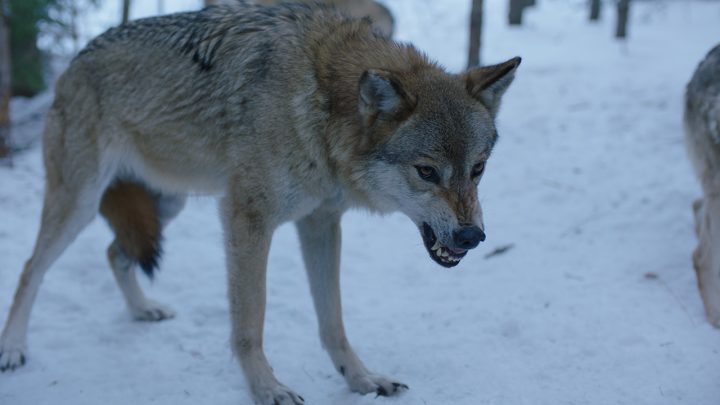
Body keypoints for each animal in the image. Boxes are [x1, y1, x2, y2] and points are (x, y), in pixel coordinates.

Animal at [0, 2, 520, 400]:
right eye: (427, 171)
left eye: (478, 169)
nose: (472, 236)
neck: (319, 105)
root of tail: (72, 63)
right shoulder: (247, 218)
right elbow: (250, 322)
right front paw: (267, 389)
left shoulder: (321, 223)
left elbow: (333, 321)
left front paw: (361, 379)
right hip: (80, 203)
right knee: (30, 268)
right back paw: (13, 349)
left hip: (169, 205)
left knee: (115, 251)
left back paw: (143, 310)